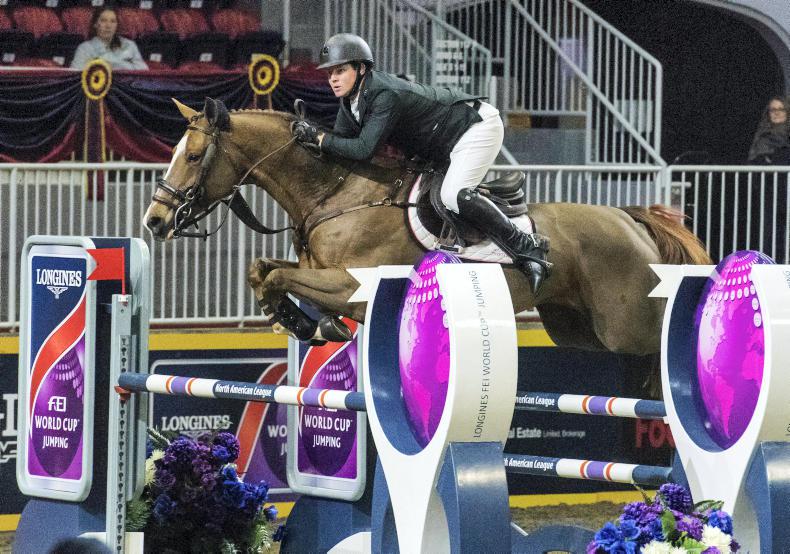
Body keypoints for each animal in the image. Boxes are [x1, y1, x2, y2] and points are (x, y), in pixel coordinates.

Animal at [144, 97, 710, 364]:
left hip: (626, 327)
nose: (154, 220)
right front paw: (306, 322)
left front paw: (300, 319)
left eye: (193, 156)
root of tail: (629, 219)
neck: (335, 196)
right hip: (578, 330)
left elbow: (280, 278)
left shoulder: (353, 287)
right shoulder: (318, 271)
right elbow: (263, 269)